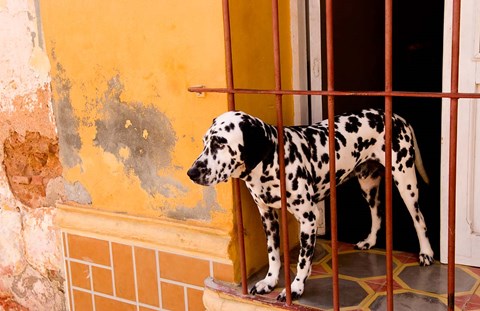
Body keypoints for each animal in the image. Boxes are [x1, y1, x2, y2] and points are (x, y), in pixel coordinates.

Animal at [187, 109, 436, 302]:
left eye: (220, 143)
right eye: (204, 142)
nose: (191, 172)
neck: (273, 162)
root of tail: (396, 116)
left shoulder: (309, 218)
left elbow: (302, 260)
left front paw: (296, 287)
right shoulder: (268, 217)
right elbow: (273, 254)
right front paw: (269, 281)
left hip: (406, 182)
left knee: (419, 219)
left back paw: (426, 253)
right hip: (368, 185)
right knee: (377, 213)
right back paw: (370, 240)